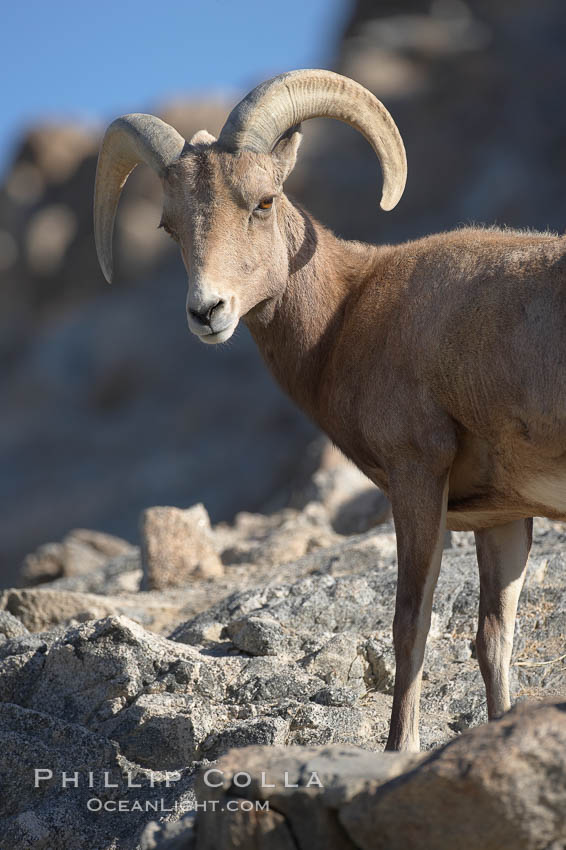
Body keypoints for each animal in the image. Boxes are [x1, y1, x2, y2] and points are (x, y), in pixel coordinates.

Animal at [95, 71, 564, 748]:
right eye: (169, 226)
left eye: (263, 203)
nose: (207, 312)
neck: (349, 310)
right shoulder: (502, 518)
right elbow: (492, 643)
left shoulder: (417, 478)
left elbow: (411, 627)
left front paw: (398, 749)